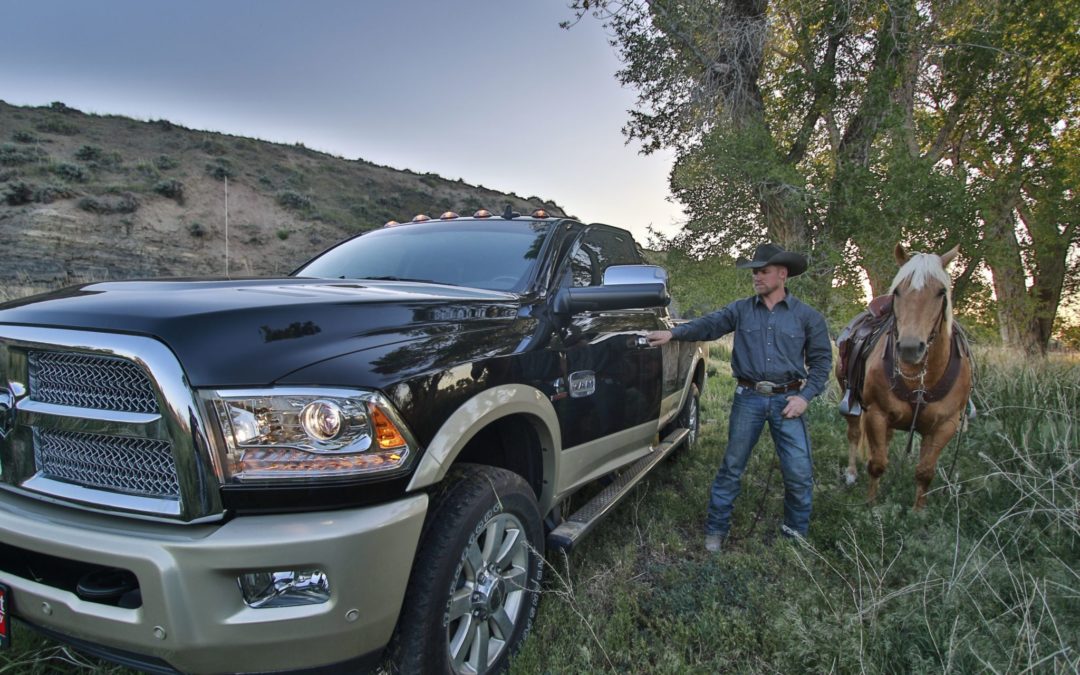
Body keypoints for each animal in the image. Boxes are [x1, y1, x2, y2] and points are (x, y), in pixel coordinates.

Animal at [838, 245, 976, 507]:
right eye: (898, 292)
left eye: (941, 291)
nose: (911, 348)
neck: (920, 377)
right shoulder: (877, 414)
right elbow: (877, 464)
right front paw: (871, 505)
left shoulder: (945, 424)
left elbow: (925, 472)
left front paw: (917, 511)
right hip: (850, 398)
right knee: (854, 433)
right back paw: (850, 473)